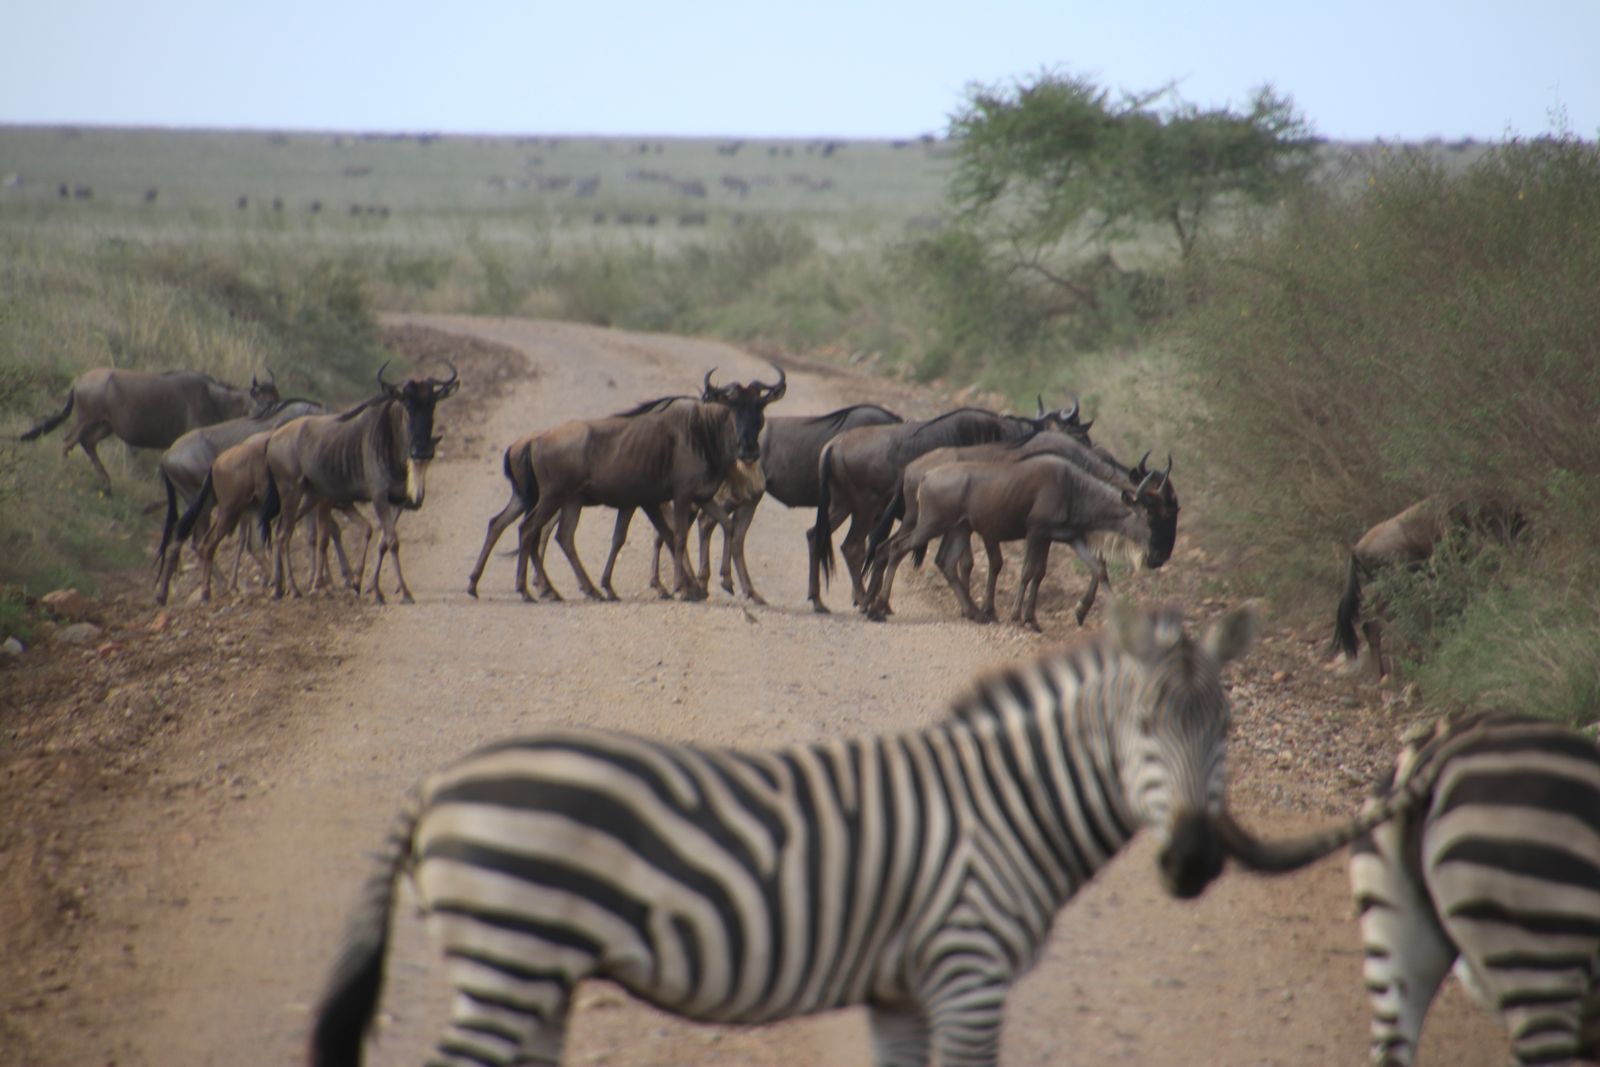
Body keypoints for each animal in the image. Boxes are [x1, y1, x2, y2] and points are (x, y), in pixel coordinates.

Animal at [312, 601, 1363, 1067]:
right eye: (1142, 729)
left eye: (1229, 730)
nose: (1193, 862)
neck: (1010, 807)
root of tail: (438, 781)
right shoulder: (968, 971)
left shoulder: (901, 989)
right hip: (511, 951)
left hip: (538, 967)